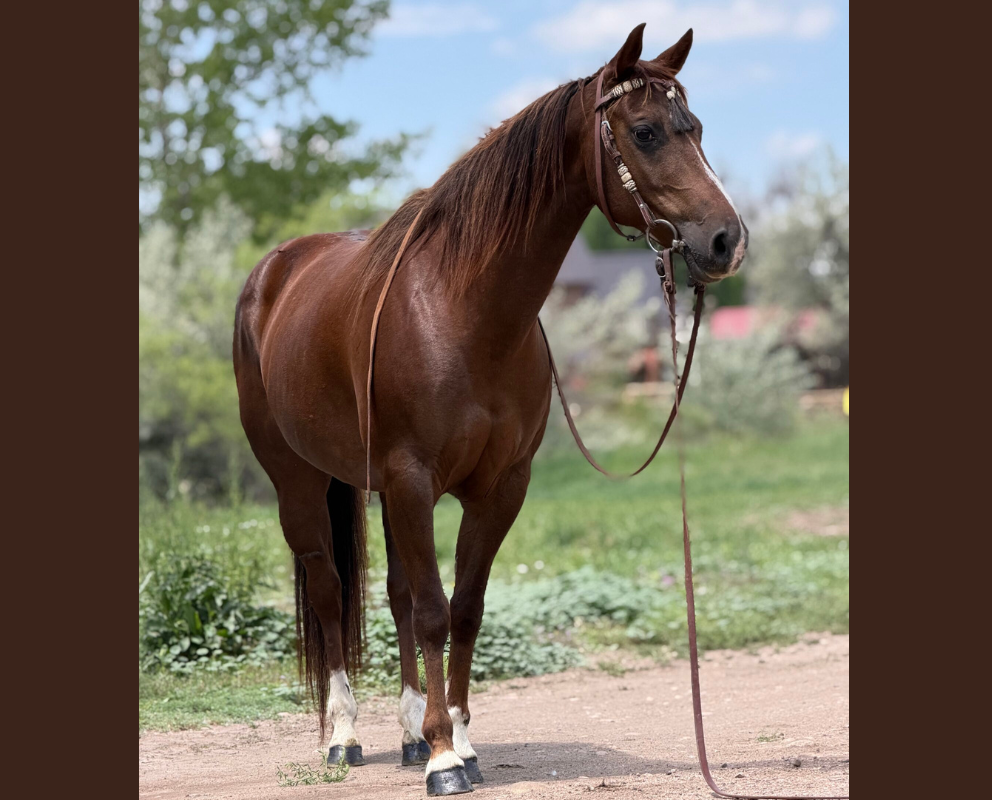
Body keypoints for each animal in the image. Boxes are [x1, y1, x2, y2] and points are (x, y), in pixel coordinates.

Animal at [233, 23, 746, 797]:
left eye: (700, 128)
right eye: (647, 132)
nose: (726, 240)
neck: (464, 312)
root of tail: (274, 272)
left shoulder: (500, 487)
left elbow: (462, 609)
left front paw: (456, 739)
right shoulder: (413, 479)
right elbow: (434, 611)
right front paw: (446, 760)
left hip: (373, 489)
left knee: (393, 594)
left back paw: (409, 732)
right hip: (298, 481)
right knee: (328, 592)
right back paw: (345, 736)